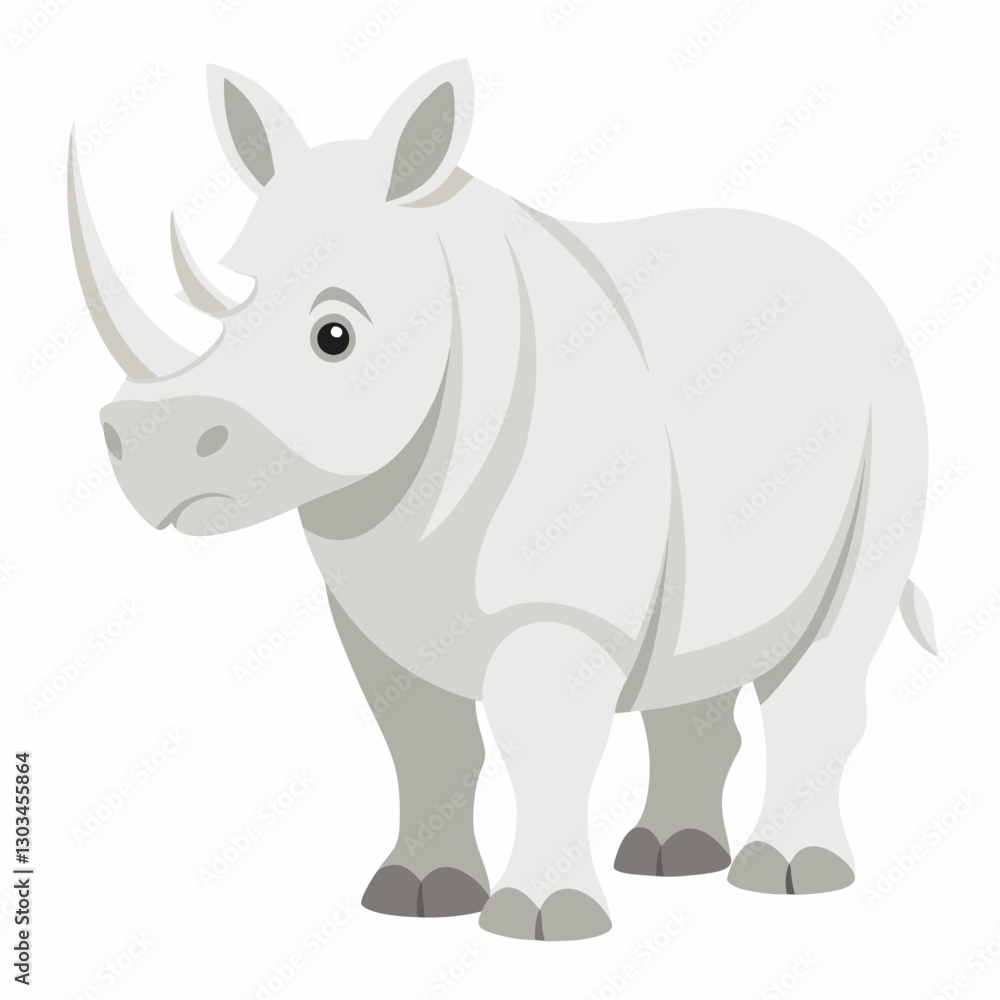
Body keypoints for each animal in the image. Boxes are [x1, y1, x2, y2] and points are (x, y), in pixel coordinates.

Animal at [69, 59, 937, 941]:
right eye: (216, 312)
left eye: (334, 336)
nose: (149, 440)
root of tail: (854, 283)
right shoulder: (378, 610)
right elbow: (425, 746)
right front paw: (417, 896)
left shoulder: (562, 607)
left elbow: (540, 744)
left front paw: (543, 920)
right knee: (701, 651)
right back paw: (671, 857)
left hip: (891, 415)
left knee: (828, 648)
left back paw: (789, 877)